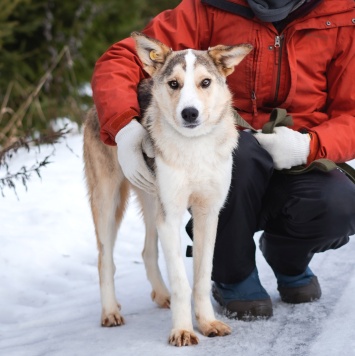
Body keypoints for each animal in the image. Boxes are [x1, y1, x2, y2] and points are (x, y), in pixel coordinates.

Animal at [83, 32, 253, 344]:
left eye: (205, 83)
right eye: (174, 84)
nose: (189, 113)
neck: (195, 148)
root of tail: (94, 106)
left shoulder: (207, 214)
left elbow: (201, 278)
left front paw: (208, 323)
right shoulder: (171, 216)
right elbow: (181, 282)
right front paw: (183, 330)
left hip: (152, 201)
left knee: (147, 251)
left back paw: (162, 296)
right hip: (107, 202)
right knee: (104, 259)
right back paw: (110, 311)